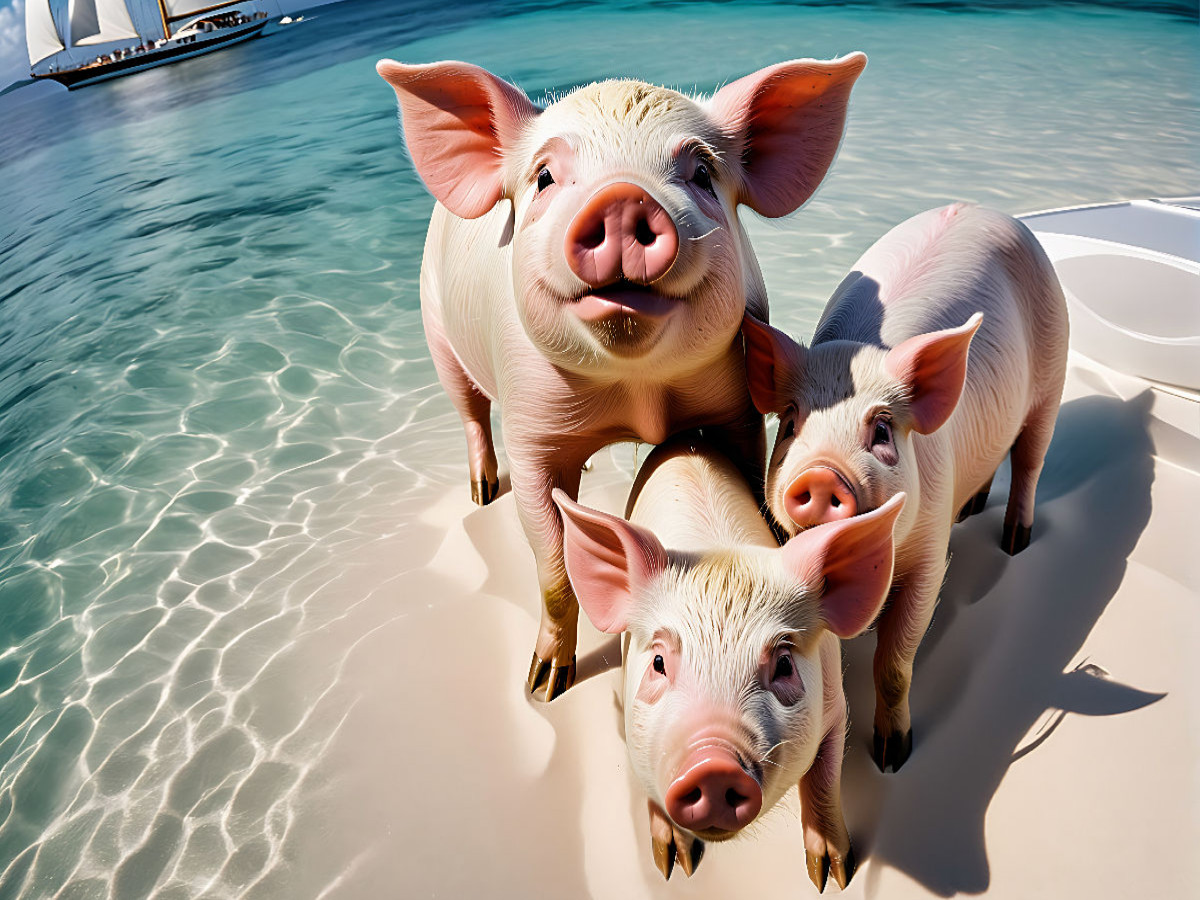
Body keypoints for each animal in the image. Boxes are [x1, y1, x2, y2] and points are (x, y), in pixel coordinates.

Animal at [379, 56, 868, 700]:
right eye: (544, 177)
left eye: (702, 171)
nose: (620, 198)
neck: (637, 393)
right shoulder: (531, 432)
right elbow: (553, 566)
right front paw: (543, 687)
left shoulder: (734, 410)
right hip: (438, 334)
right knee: (470, 413)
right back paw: (481, 491)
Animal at [549, 439, 902, 897]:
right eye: (658, 662)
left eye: (784, 664)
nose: (713, 764)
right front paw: (672, 866)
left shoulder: (835, 705)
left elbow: (824, 780)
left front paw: (833, 877)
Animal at [739, 206, 1070, 777]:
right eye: (790, 424)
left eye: (882, 430)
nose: (821, 475)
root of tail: (992, 211)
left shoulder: (930, 555)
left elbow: (894, 662)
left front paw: (894, 759)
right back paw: (975, 508)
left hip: (1053, 374)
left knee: (1030, 460)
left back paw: (1015, 542)